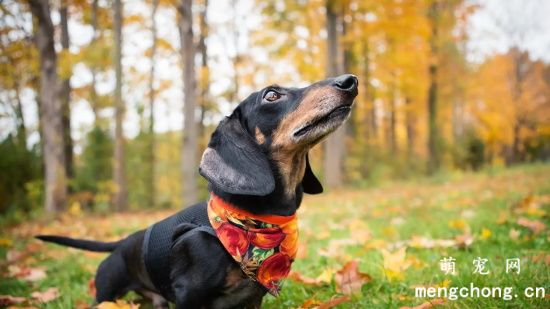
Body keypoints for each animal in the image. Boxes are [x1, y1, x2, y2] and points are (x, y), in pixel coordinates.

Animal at [36, 73, 360, 306]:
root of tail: (122, 243)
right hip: (106, 293)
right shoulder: (187, 294)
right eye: (272, 95)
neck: (254, 220)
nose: (350, 81)